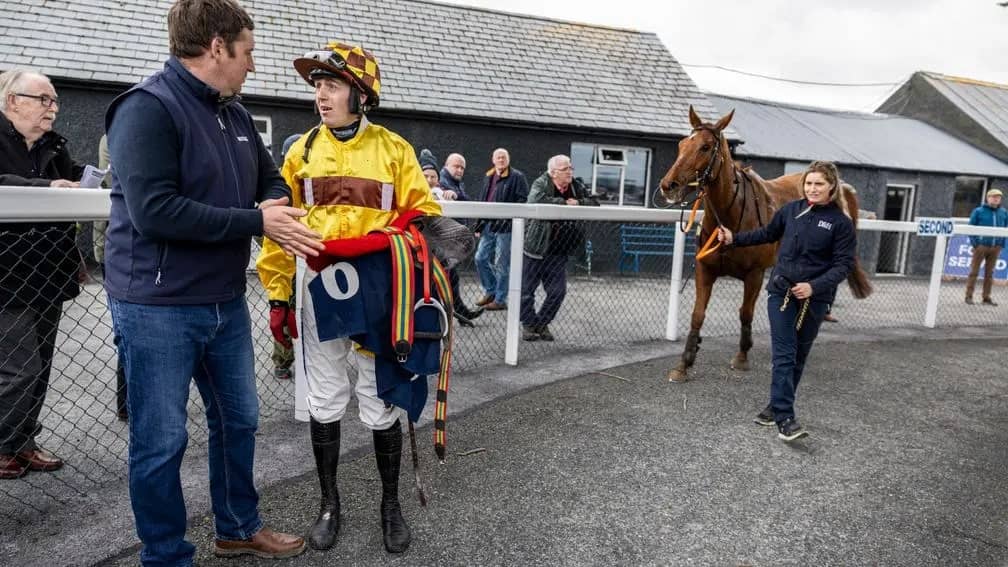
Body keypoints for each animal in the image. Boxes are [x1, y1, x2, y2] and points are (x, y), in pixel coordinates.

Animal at [657, 105, 870, 379]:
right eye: (682, 144)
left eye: (705, 147)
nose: (668, 185)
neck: (731, 215)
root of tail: (841, 188)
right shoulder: (705, 269)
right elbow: (697, 315)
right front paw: (685, 362)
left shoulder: (754, 274)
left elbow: (745, 313)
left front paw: (742, 356)